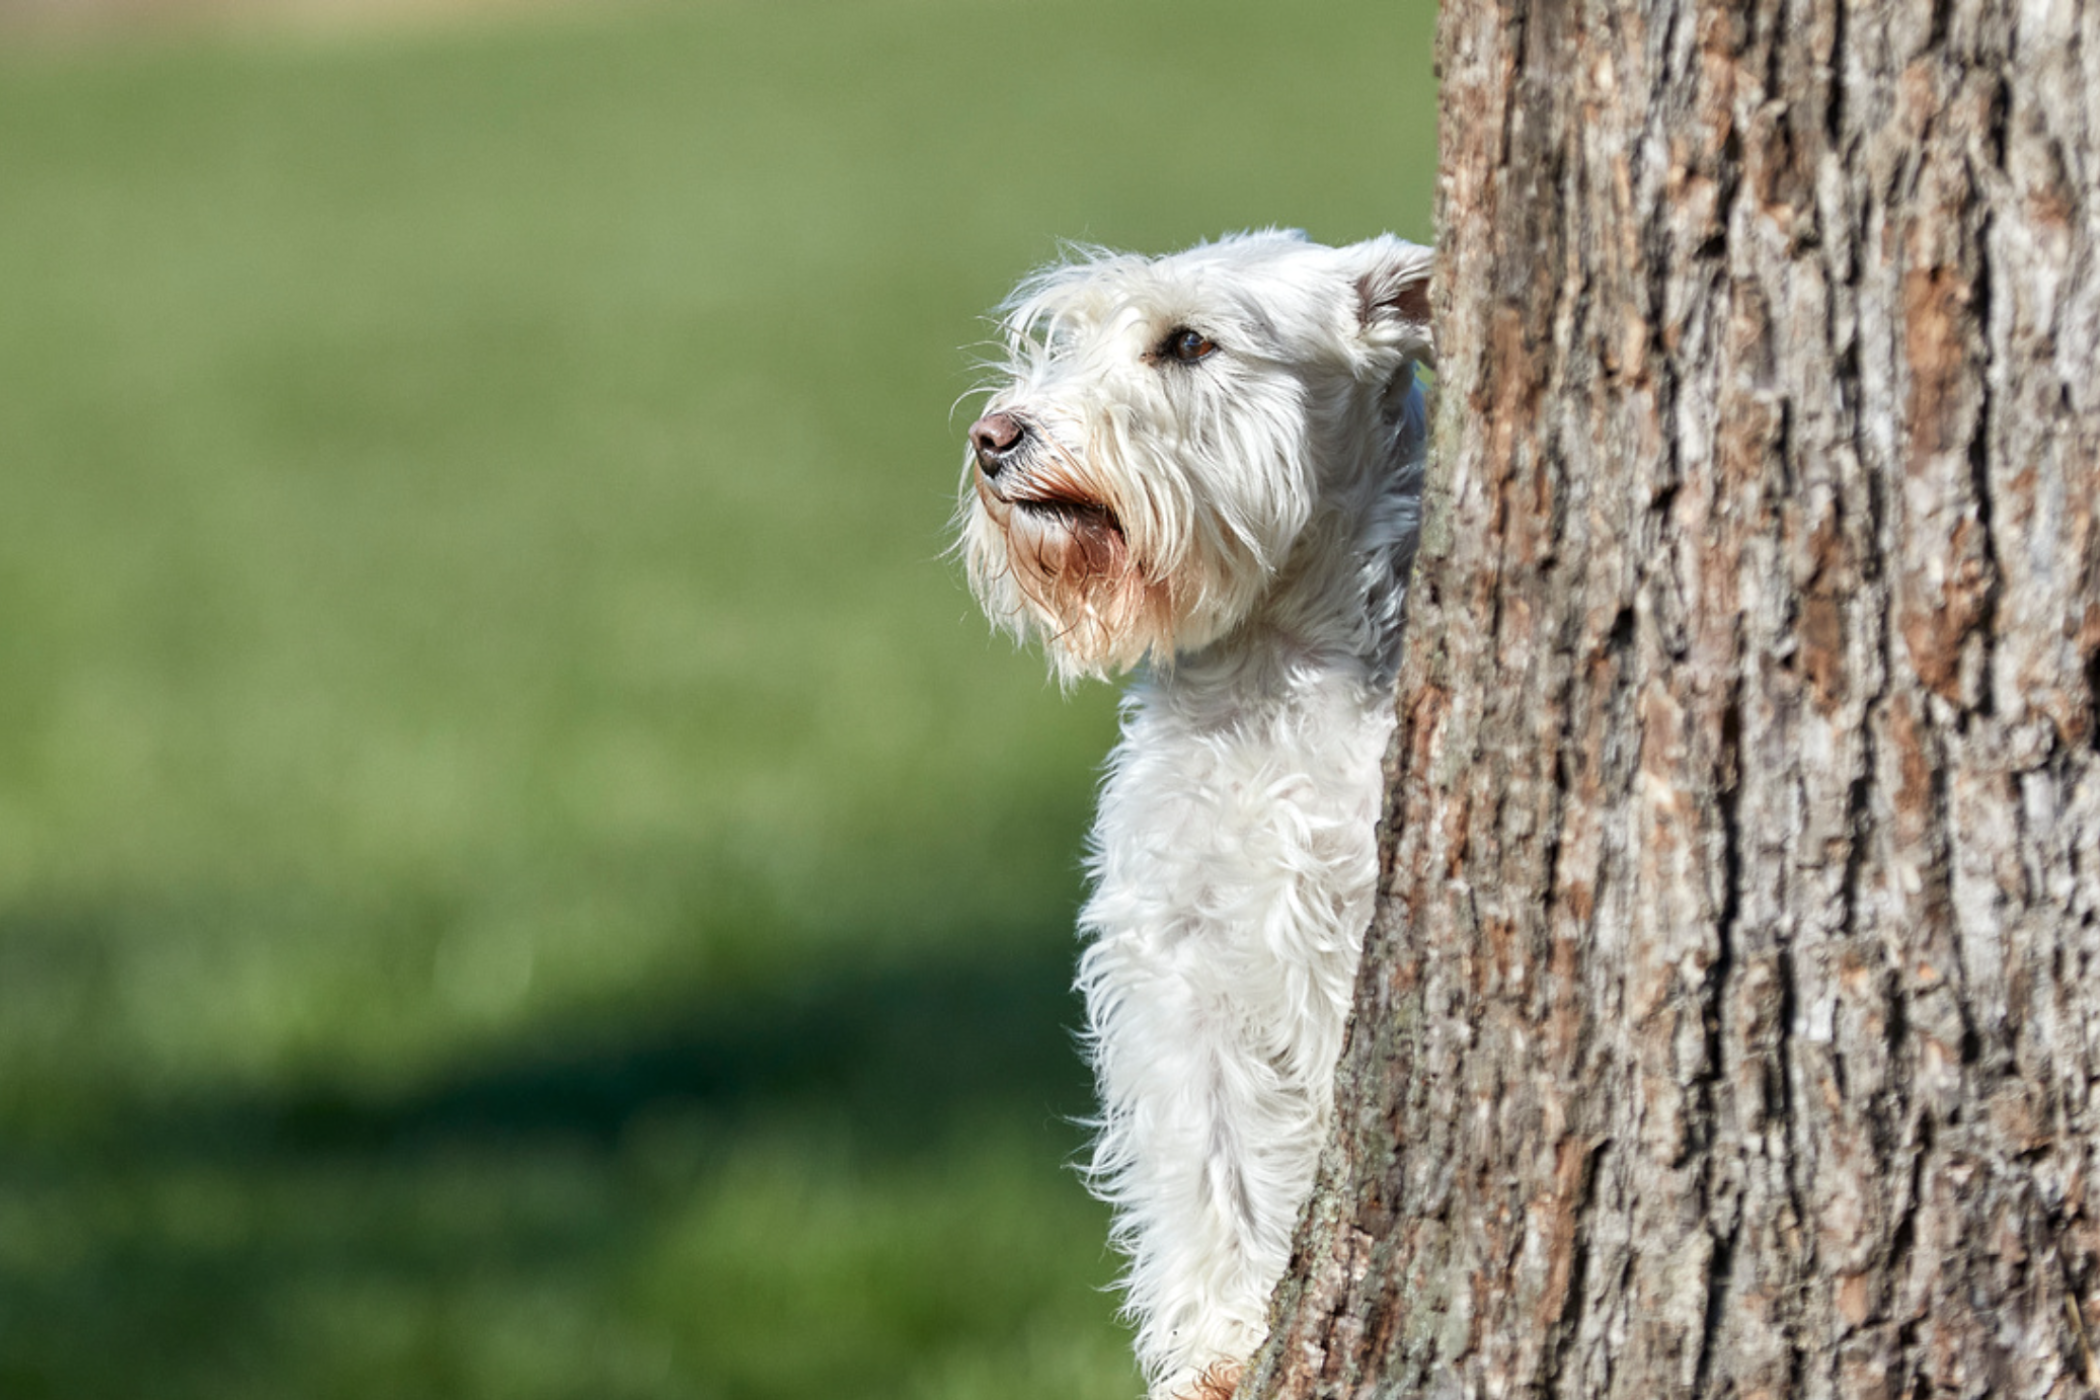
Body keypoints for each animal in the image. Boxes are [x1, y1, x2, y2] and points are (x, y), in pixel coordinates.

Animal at [961, 232, 1436, 1400]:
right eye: (1071, 332)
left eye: (1188, 342)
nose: (995, 436)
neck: (1266, 675)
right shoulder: (1181, 964)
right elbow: (1215, 1161)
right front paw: (1221, 1345)